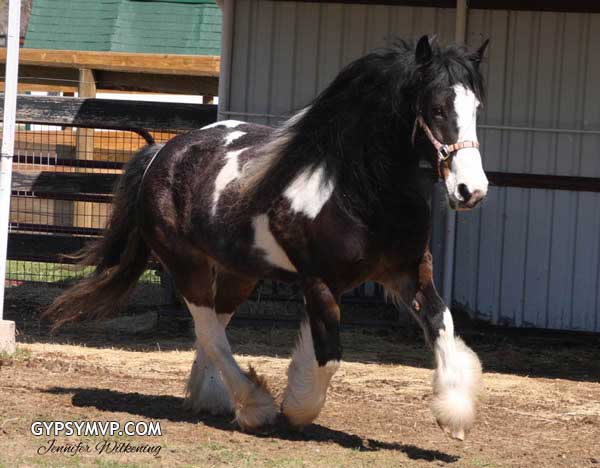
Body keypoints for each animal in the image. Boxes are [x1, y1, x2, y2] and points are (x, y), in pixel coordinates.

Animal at [44, 35, 490, 438]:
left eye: (476, 107)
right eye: (436, 108)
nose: (471, 190)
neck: (357, 192)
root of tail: (162, 154)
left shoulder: (408, 273)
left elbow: (442, 322)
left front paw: (453, 414)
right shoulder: (320, 281)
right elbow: (329, 356)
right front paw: (295, 408)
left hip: (239, 272)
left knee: (213, 327)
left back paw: (210, 398)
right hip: (186, 264)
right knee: (209, 330)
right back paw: (254, 406)